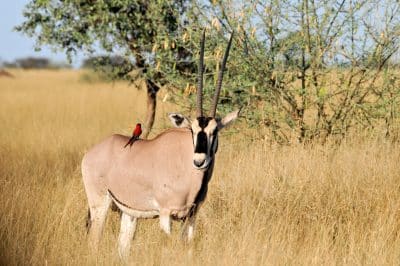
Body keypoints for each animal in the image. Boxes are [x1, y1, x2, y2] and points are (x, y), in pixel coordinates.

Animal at [81, 30, 238, 258]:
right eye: (192, 130)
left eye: (215, 131)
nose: (199, 161)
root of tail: (91, 153)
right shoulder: (165, 214)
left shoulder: (191, 215)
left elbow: (188, 247)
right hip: (99, 205)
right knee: (94, 241)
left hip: (128, 213)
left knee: (123, 247)